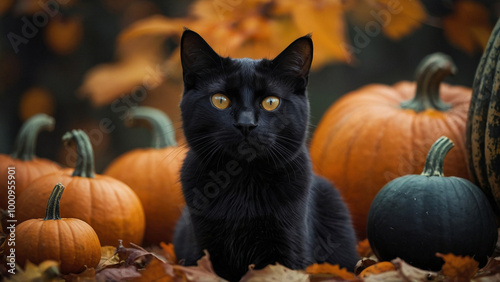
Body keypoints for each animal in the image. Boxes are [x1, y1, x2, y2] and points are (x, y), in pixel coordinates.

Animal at [173, 29, 360, 280]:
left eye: (271, 102)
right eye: (220, 100)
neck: (243, 182)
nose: (245, 124)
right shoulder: (204, 248)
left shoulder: (288, 249)